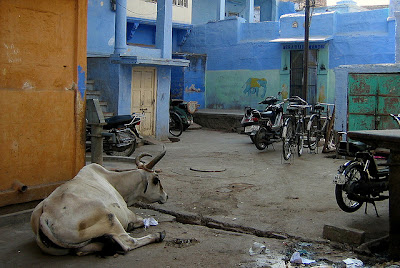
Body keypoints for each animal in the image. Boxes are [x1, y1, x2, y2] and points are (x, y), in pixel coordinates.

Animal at [30, 149, 167, 255]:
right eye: (157, 180)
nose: (166, 196)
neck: (113, 180)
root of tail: (45, 214)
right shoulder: (127, 213)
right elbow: (140, 219)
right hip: (108, 216)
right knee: (128, 242)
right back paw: (157, 235)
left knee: (81, 251)